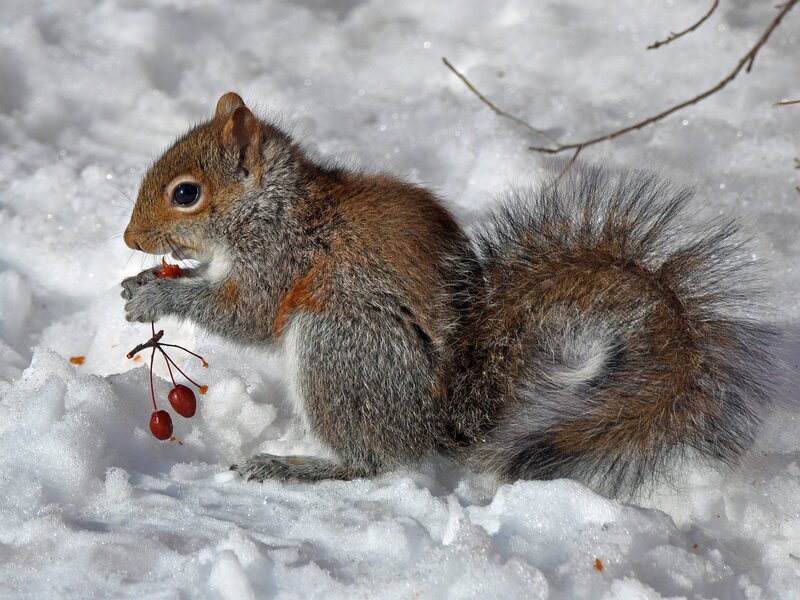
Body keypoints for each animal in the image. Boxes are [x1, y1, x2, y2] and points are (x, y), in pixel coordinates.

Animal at [121, 92, 775, 497]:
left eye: (186, 194)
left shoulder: (281, 260)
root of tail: (437, 421)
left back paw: (291, 466)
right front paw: (142, 283)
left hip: (339, 345)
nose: (130, 240)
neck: (271, 206)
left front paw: (156, 299)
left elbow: (247, 314)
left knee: (371, 462)